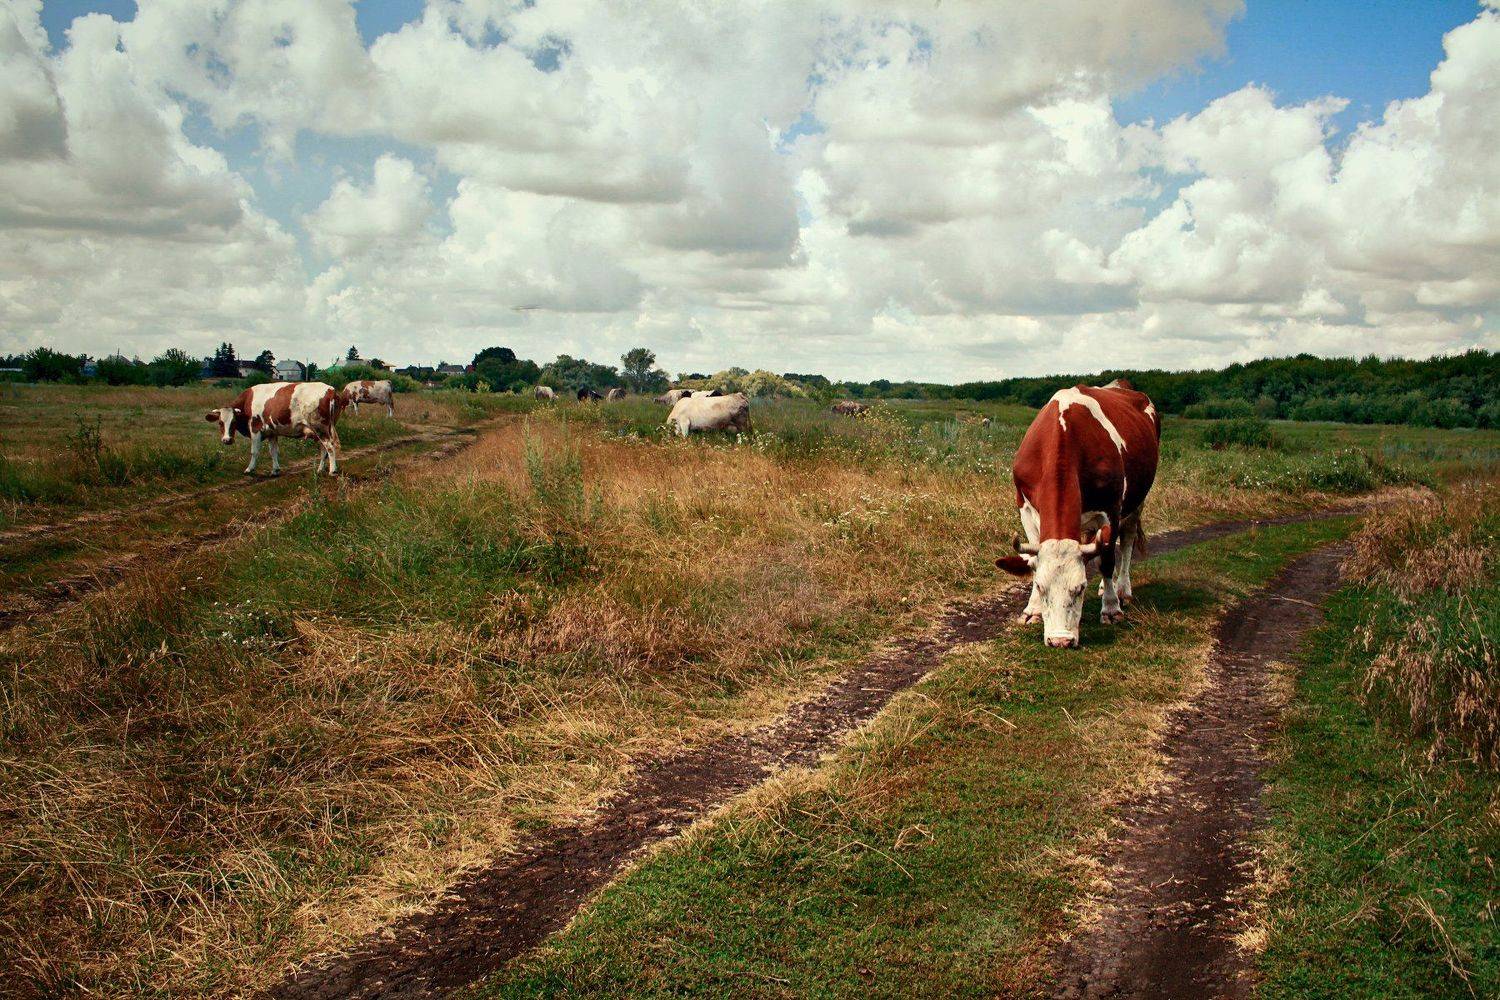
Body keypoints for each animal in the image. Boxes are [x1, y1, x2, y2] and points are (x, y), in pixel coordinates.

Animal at [205, 381, 344, 476]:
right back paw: (320, 469)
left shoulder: (255, 429)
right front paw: (275, 470)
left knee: (330, 447)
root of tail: (330, 390)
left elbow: (254, 451)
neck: (248, 401)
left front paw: (249, 469)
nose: (227, 440)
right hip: (323, 429)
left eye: (233, 422)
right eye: (220, 423)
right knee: (324, 449)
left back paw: (333, 470)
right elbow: (273, 451)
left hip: (320, 428)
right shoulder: (272, 432)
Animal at [993, 379, 1160, 648]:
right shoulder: (1025, 506)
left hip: (1138, 500)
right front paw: (1032, 610)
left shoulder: (1111, 509)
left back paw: (1122, 589)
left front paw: (1111, 609)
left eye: (1081, 587)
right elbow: (1033, 561)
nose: (1060, 641)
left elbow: (1107, 560)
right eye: (1040, 587)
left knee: (1126, 541)